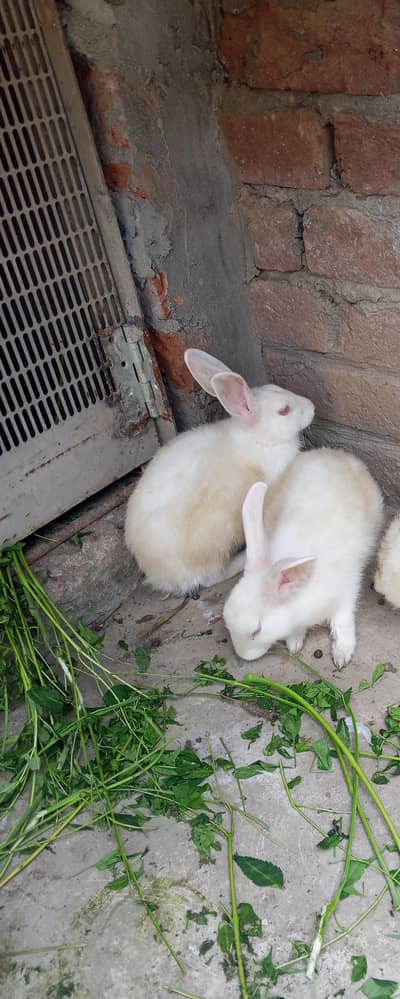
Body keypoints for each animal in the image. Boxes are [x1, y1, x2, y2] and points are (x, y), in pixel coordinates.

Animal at [223, 448, 383, 668]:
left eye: (257, 630)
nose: (243, 656)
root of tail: (331, 452)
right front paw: (295, 642)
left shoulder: (346, 591)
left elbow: (342, 620)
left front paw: (342, 654)